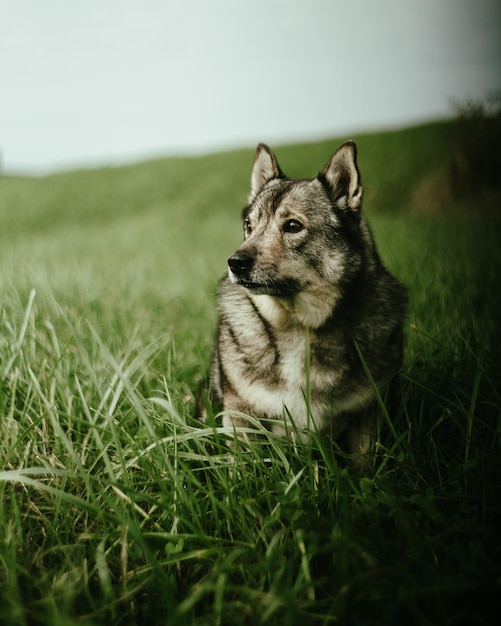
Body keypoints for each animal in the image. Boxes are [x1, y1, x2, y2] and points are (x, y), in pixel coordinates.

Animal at [197, 139, 404, 456]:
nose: (235, 262)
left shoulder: (366, 416)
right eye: (249, 226)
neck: (298, 326)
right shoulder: (241, 417)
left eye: (293, 226)